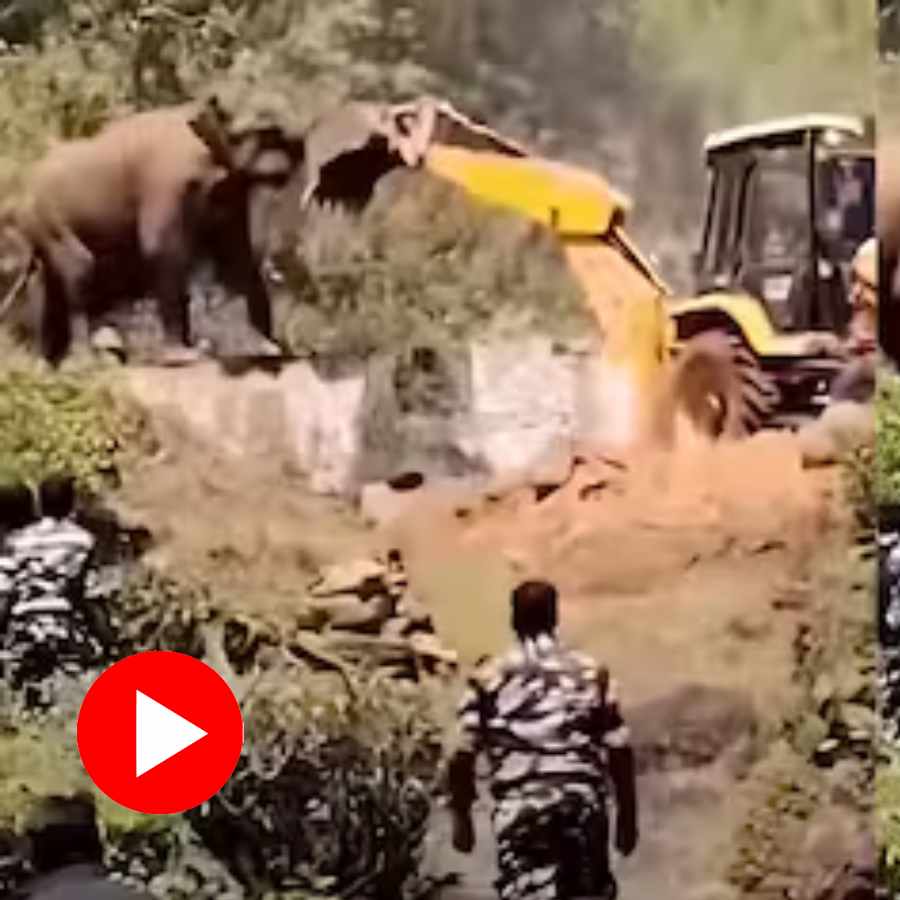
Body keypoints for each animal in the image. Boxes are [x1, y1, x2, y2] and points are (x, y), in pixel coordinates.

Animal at [1, 96, 305, 365]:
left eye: (282, 177)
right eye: (270, 176)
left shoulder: (231, 189)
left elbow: (236, 251)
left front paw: (265, 347)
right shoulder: (166, 178)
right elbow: (160, 247)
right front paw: (182, 354)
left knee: (51, 280)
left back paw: (51, 360)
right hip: (44, 215)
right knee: (79, 267)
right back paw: (83, 356)